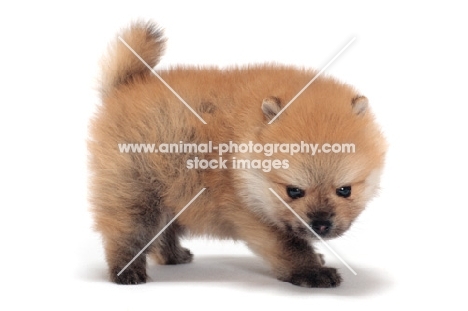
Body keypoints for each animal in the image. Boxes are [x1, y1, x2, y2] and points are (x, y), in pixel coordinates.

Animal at [88, 21, 388, 288]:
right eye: (293, 191)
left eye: (345, 190)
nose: (321, 224)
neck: (242, 154)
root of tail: (126, 86)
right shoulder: (248, 214)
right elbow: (289, 246)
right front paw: (312, 272)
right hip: (134, 192)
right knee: (126, 234)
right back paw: (127, 272)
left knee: (164, 230)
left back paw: (174, 255)